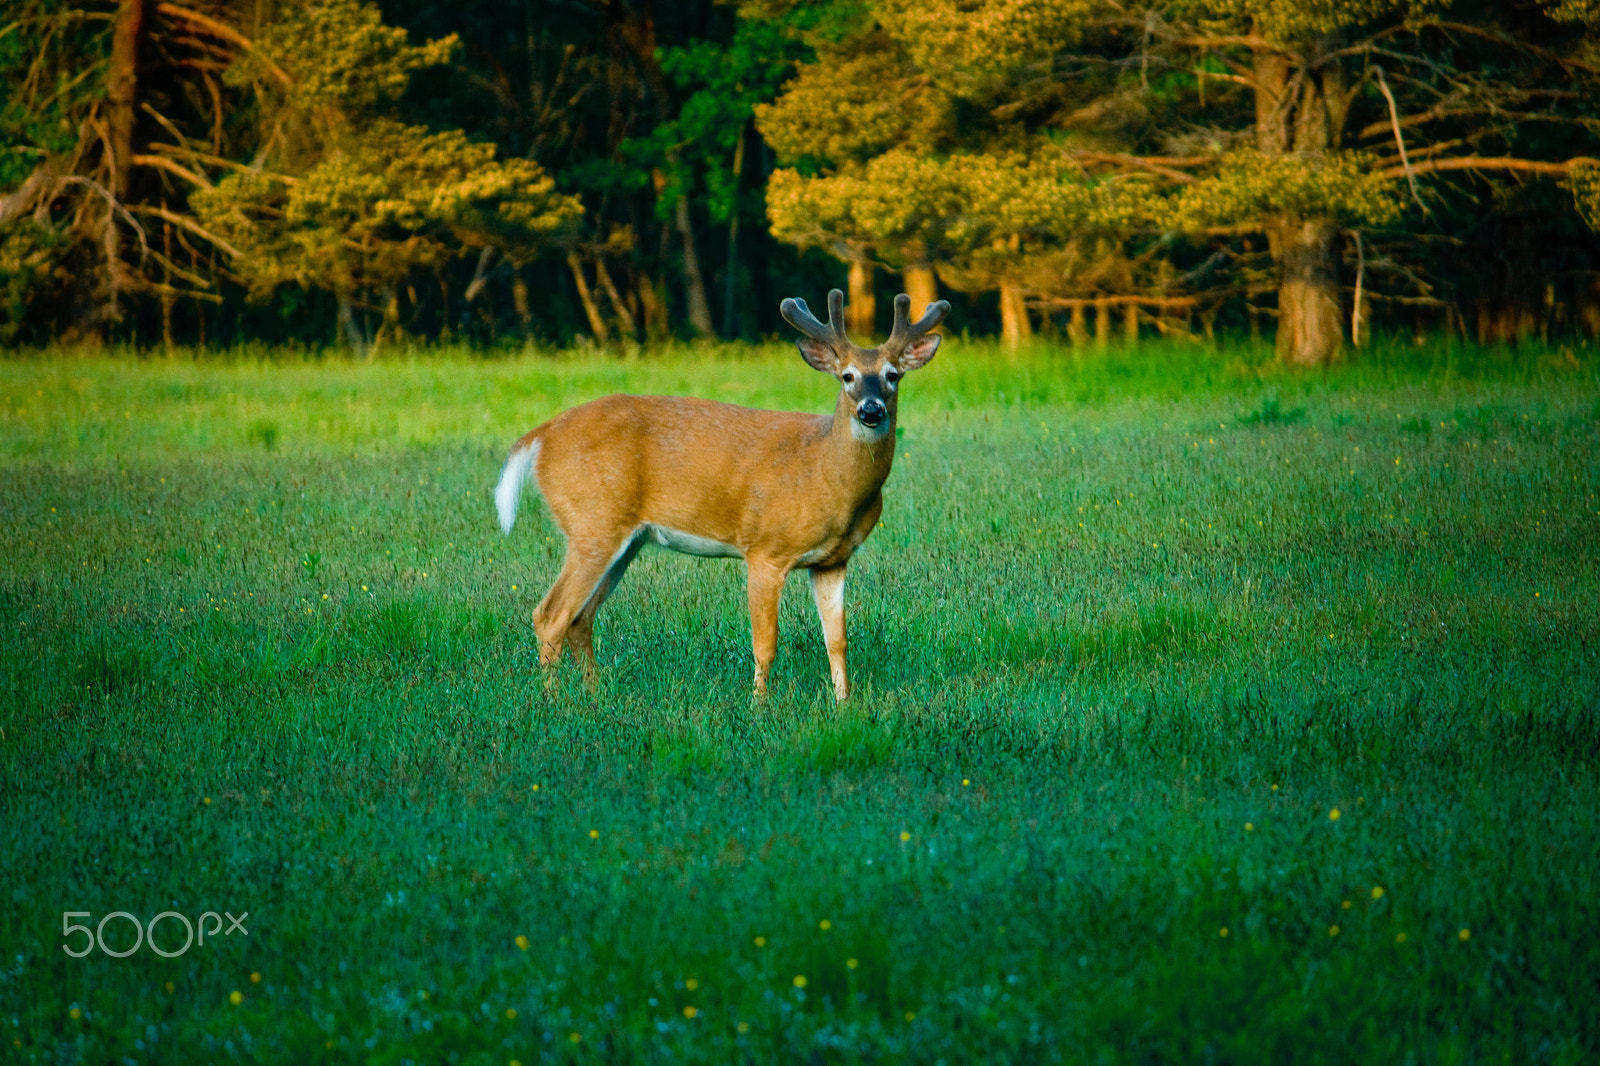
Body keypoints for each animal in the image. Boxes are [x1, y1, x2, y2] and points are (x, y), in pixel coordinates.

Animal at [494, 289, 949, 701]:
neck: (825, 474)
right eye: (847, 376)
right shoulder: (766, 549)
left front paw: (844, 707)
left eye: (893, 375)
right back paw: (555, 704)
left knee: (580, 618)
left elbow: (837, 641)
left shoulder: (833, 561)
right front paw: (759, 708)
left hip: (625, 538)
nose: (871, 410)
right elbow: (765, 644)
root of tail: (540, 436)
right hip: (593, 523)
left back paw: (594, 697)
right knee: (550, 615)